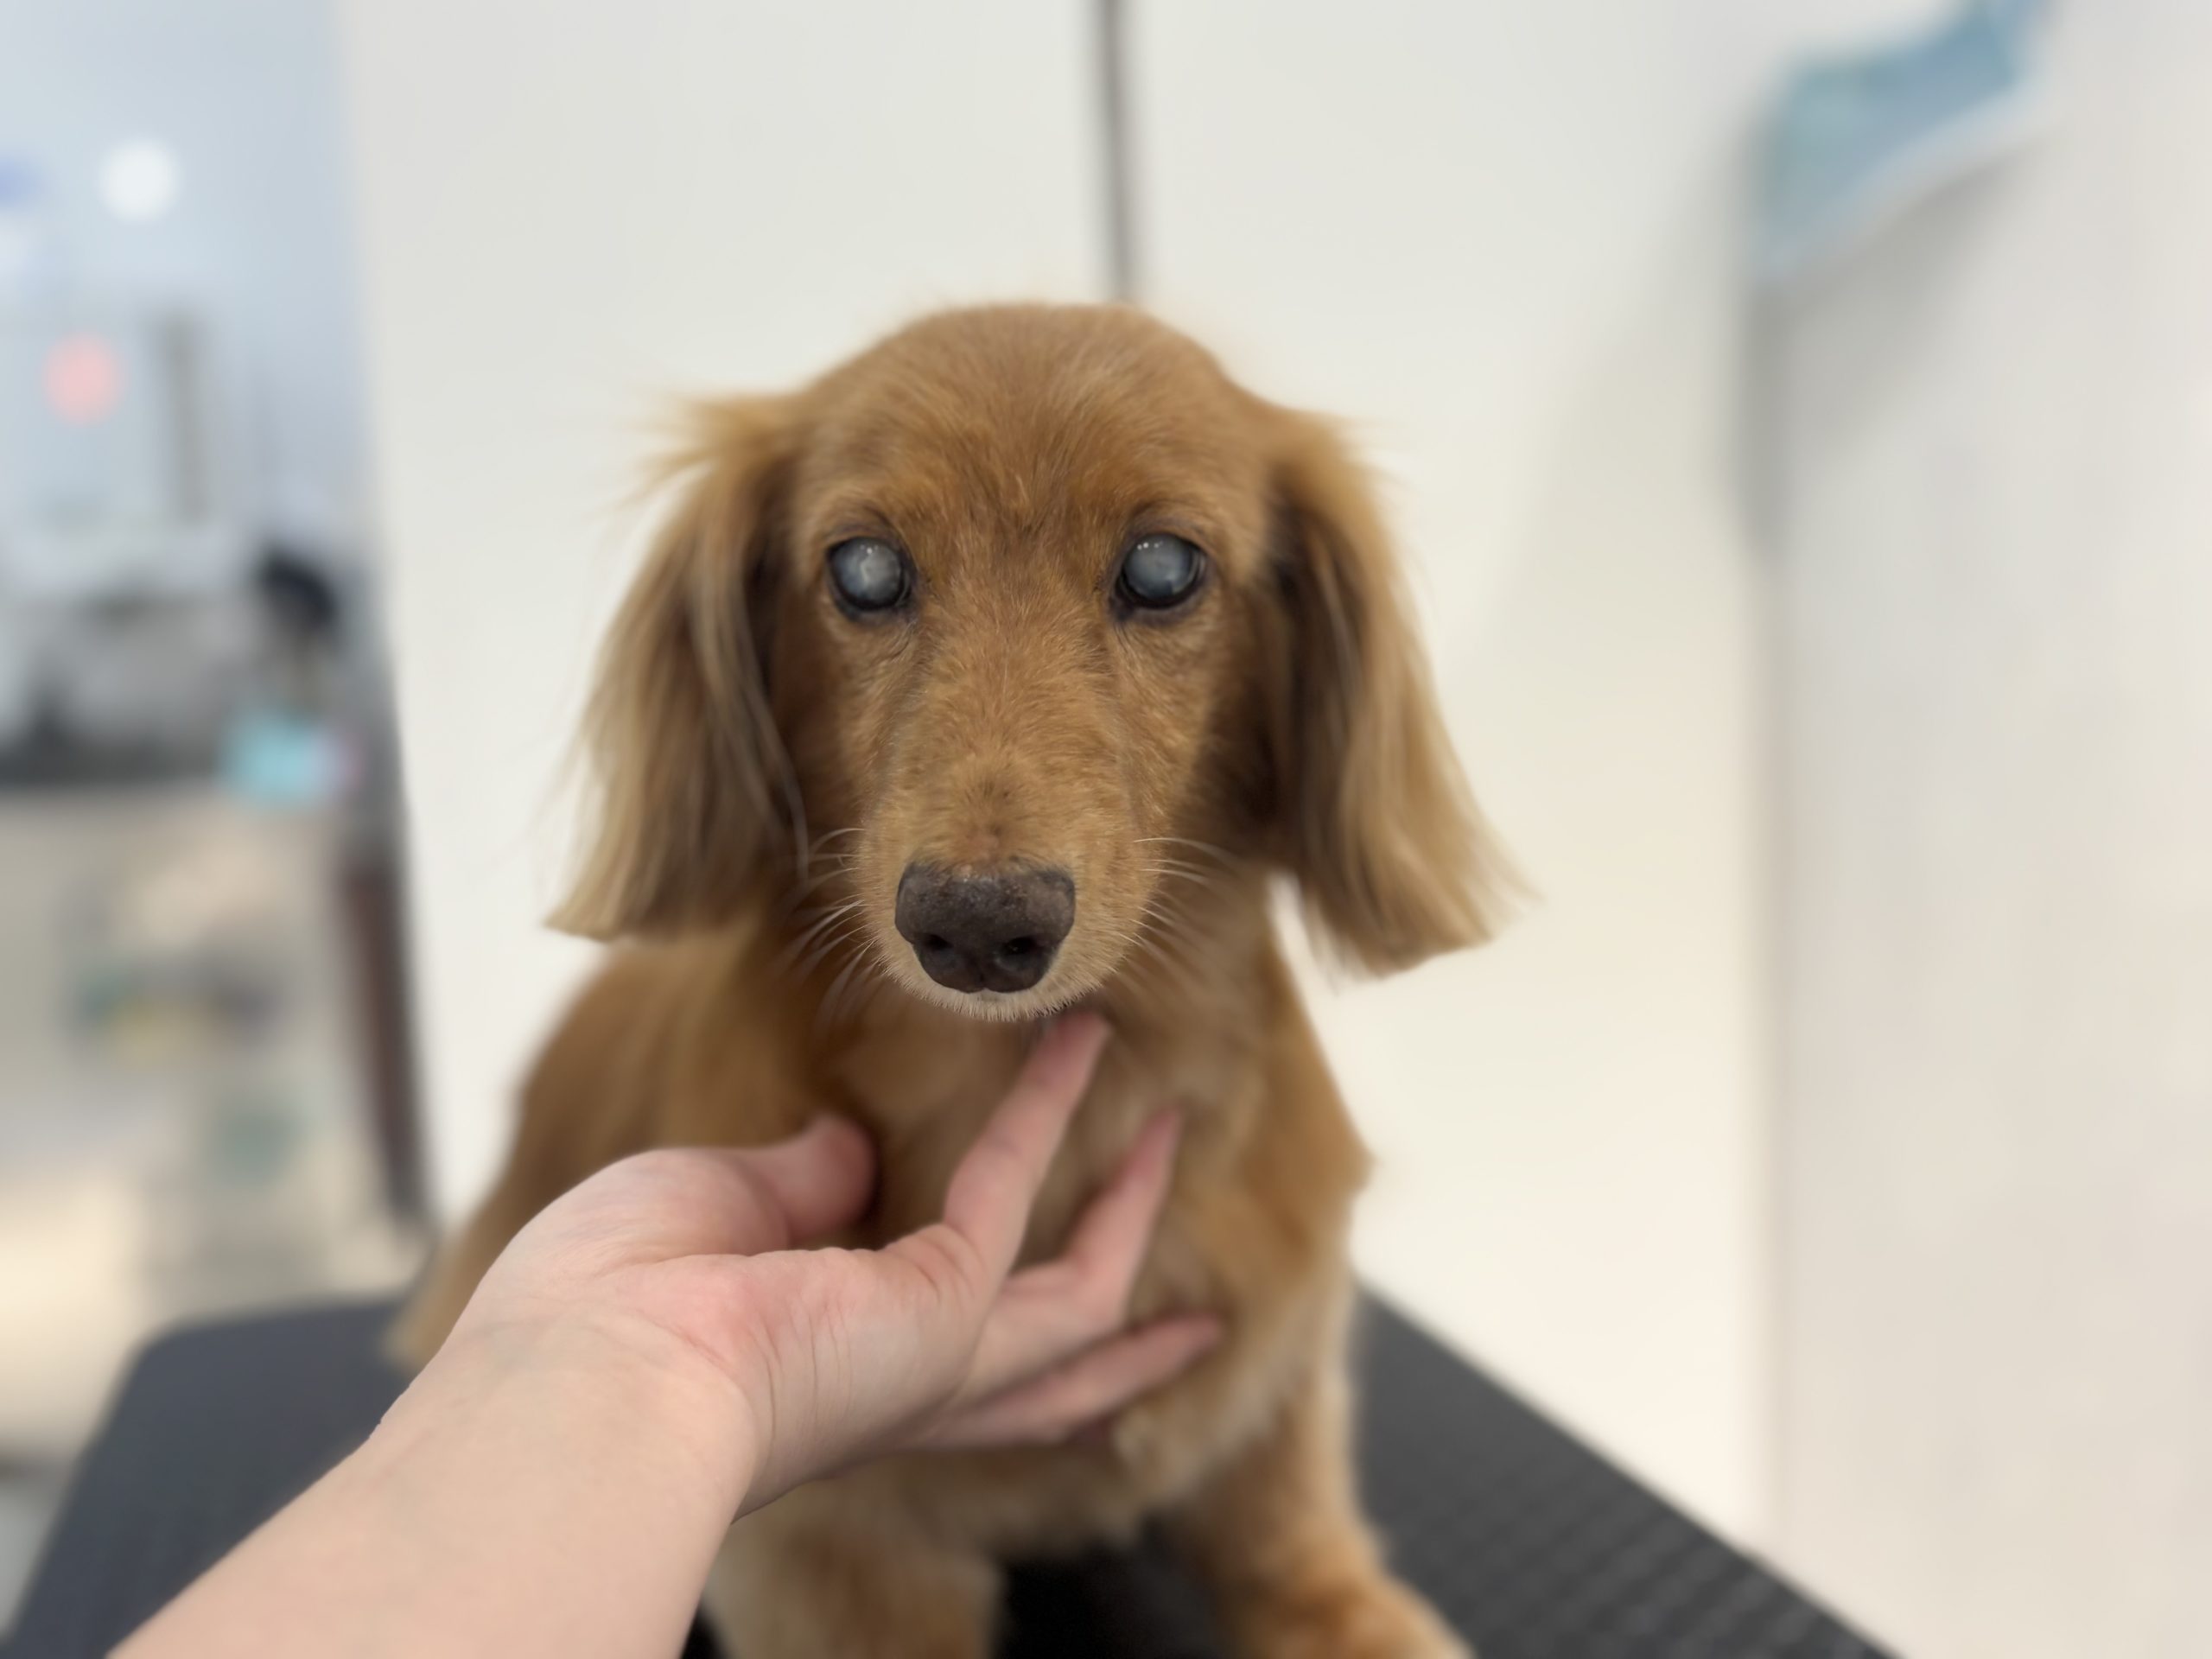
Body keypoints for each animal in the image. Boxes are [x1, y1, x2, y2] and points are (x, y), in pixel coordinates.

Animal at [396, 303, 1507, 1657]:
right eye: (866, 571)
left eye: (1163, 567)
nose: (979, 927)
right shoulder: (833, 1563)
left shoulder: (1272, 1382)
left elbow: (1293, 1543)